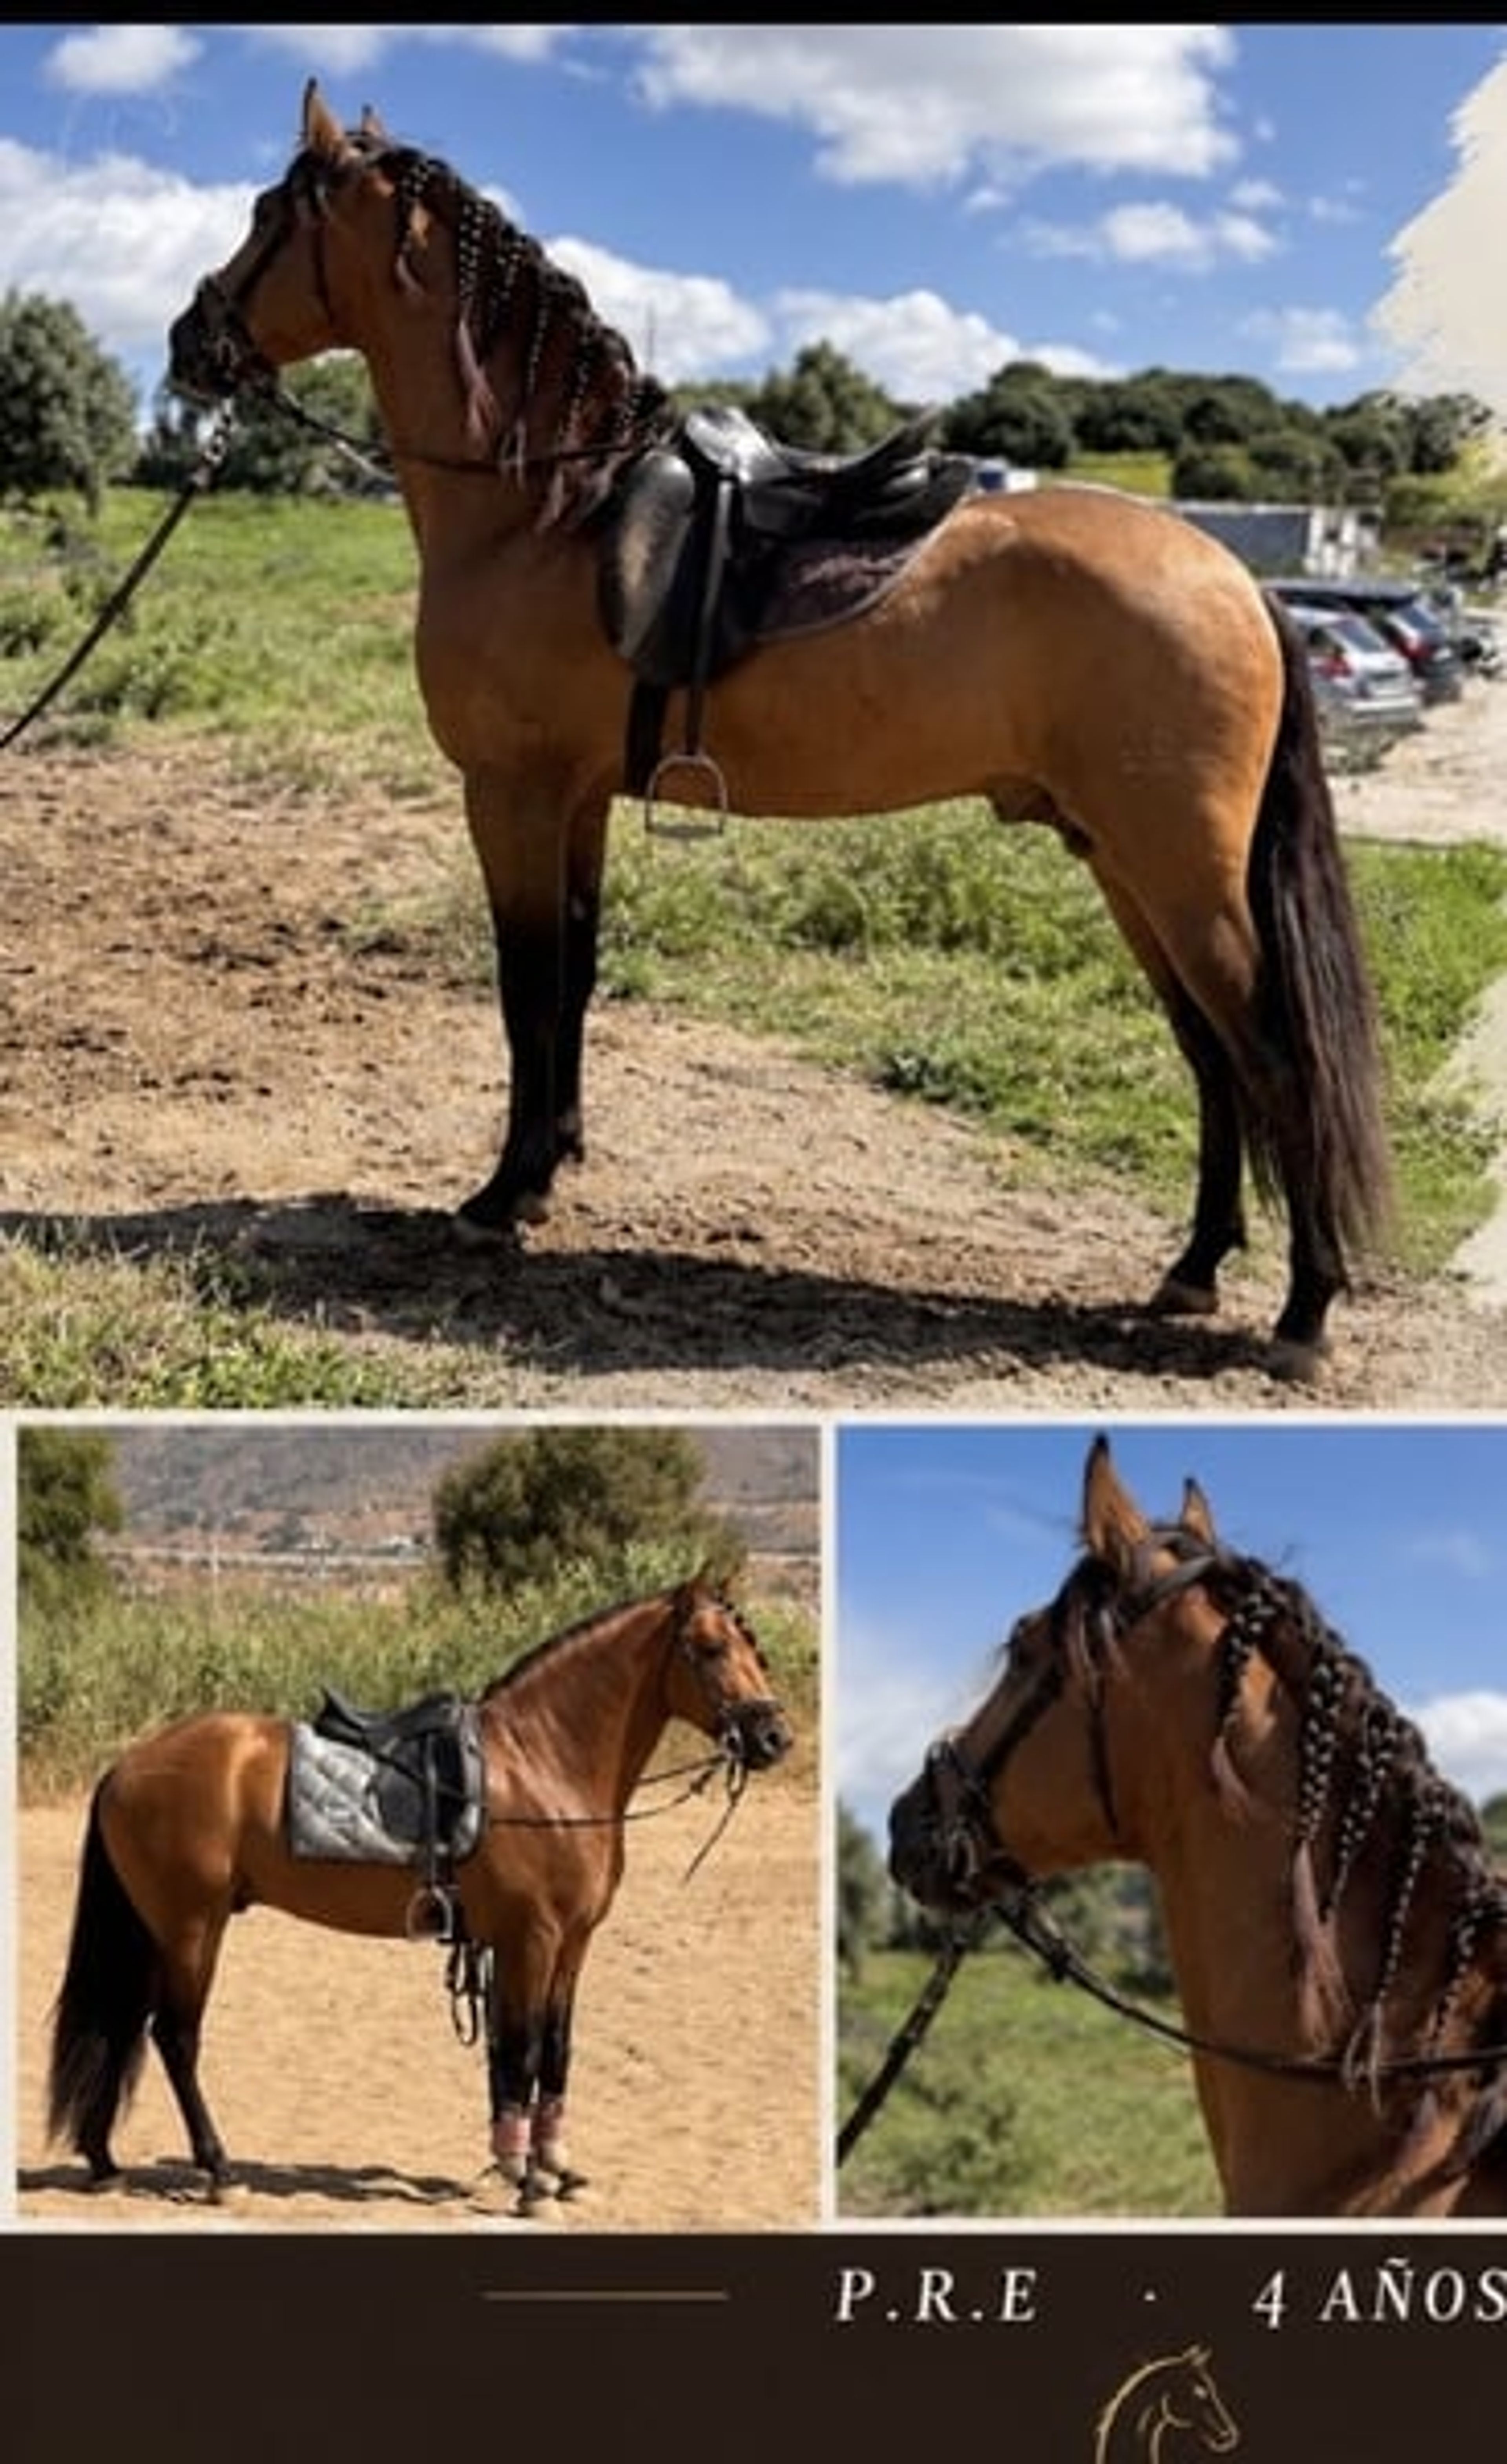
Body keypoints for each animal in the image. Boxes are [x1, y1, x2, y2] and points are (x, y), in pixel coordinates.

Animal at [46, 1572, 792, 2211]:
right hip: (191, 1927)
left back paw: (104, 2160)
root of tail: (127, 1765)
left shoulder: (571, 1942)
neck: (542, 1765)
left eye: (751, 1645)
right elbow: (521, 2049)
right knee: (175, 2037)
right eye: (711, 1648)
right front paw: (525, 2180)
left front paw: (554, 2167)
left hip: (156, 1928)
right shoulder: (532, 1938)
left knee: (125, 2027)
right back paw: (219, 2169)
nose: (774, 1736)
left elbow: (553, 2049)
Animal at [164, 79, 1393, 1383]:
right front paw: (551, 1170)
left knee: (1272, 1056)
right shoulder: (579, 799)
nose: (188, 345)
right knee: (1209, 1054)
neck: (546, 510)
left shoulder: (510, 795)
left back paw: (1304, 1313)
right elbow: (576, 979)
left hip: (1177, 870)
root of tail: (1234, 575)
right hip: (1125, 864)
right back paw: (1193, 1269)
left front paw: (501, 1195)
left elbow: (525, 986)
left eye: (265, 217)